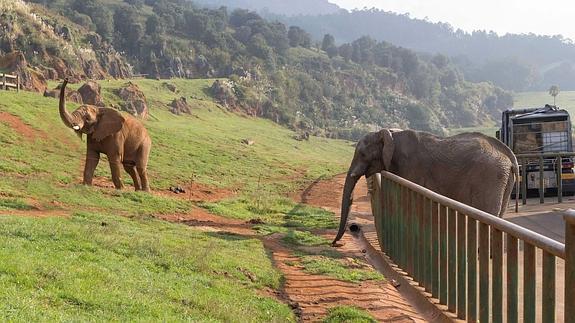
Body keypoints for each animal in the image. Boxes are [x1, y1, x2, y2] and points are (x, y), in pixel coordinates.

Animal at [332, 129, 516, 246]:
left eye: (362, 154)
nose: (334, 243)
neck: (388, 133)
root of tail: (508, 155)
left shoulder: (410, 167)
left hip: (490, 176)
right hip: (503, 180)